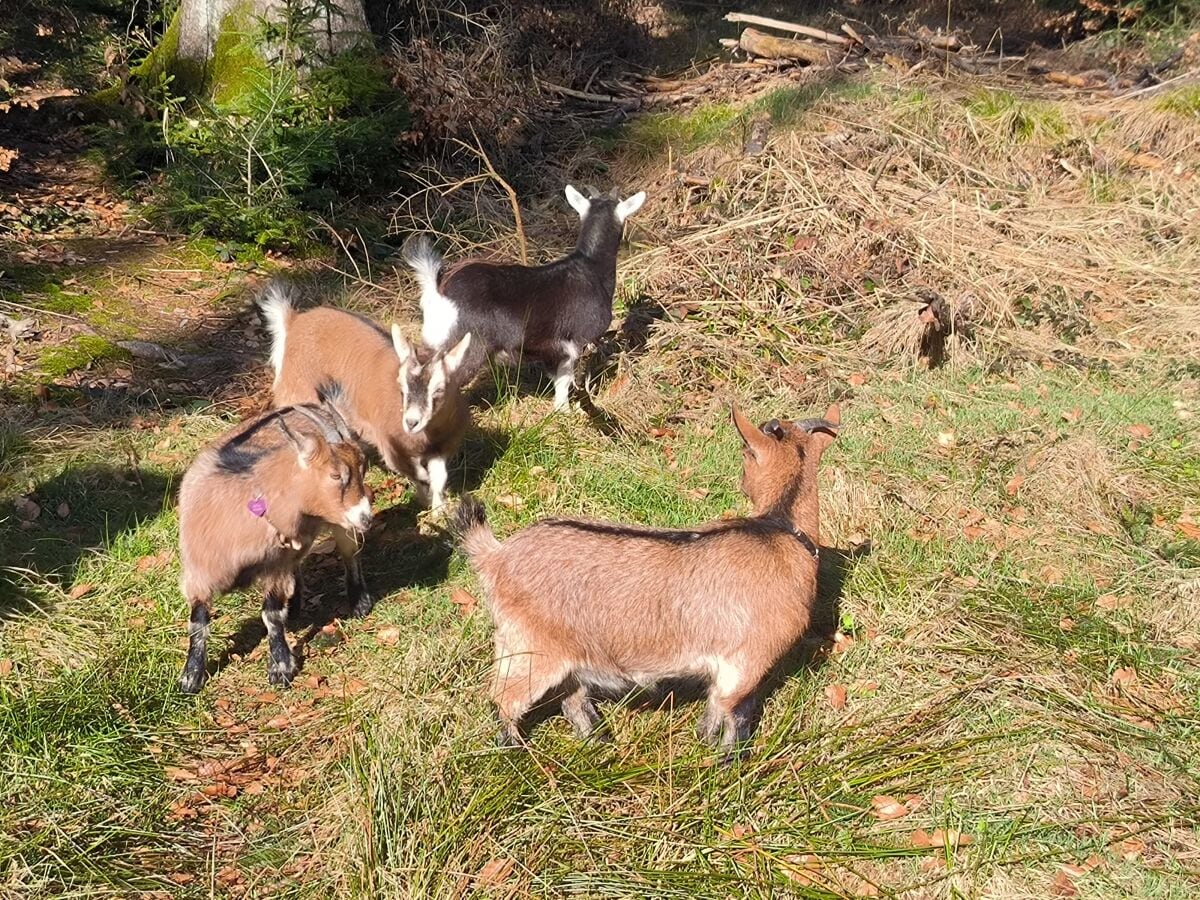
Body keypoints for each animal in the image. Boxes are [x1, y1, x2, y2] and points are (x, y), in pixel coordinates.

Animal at [177, 403, 372, 696]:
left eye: (363, 469)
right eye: (336, 474)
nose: (366, 517)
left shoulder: (275, 567)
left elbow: (271, 614)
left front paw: (280, 668)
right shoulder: (199, 571)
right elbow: (198, 623)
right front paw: (191, 677)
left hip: (341, 527)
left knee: (350, 555)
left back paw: (359, 601)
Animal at [261, 282, 472, 508]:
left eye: (439, 389)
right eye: (401, 387)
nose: (411, 422)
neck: (427, 437)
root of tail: (293, 321)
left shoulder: (443, 446)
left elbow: (438, 477)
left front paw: (439, 508)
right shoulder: (391, 448)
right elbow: (417, 473)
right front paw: (426, 500)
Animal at [403, 184, 648, 410]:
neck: (591, 267)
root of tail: (438, 293)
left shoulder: (552, 350)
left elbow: (557, 379)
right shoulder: (572, 343)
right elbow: (565, 381)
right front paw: (566, 412)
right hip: (465, 348)